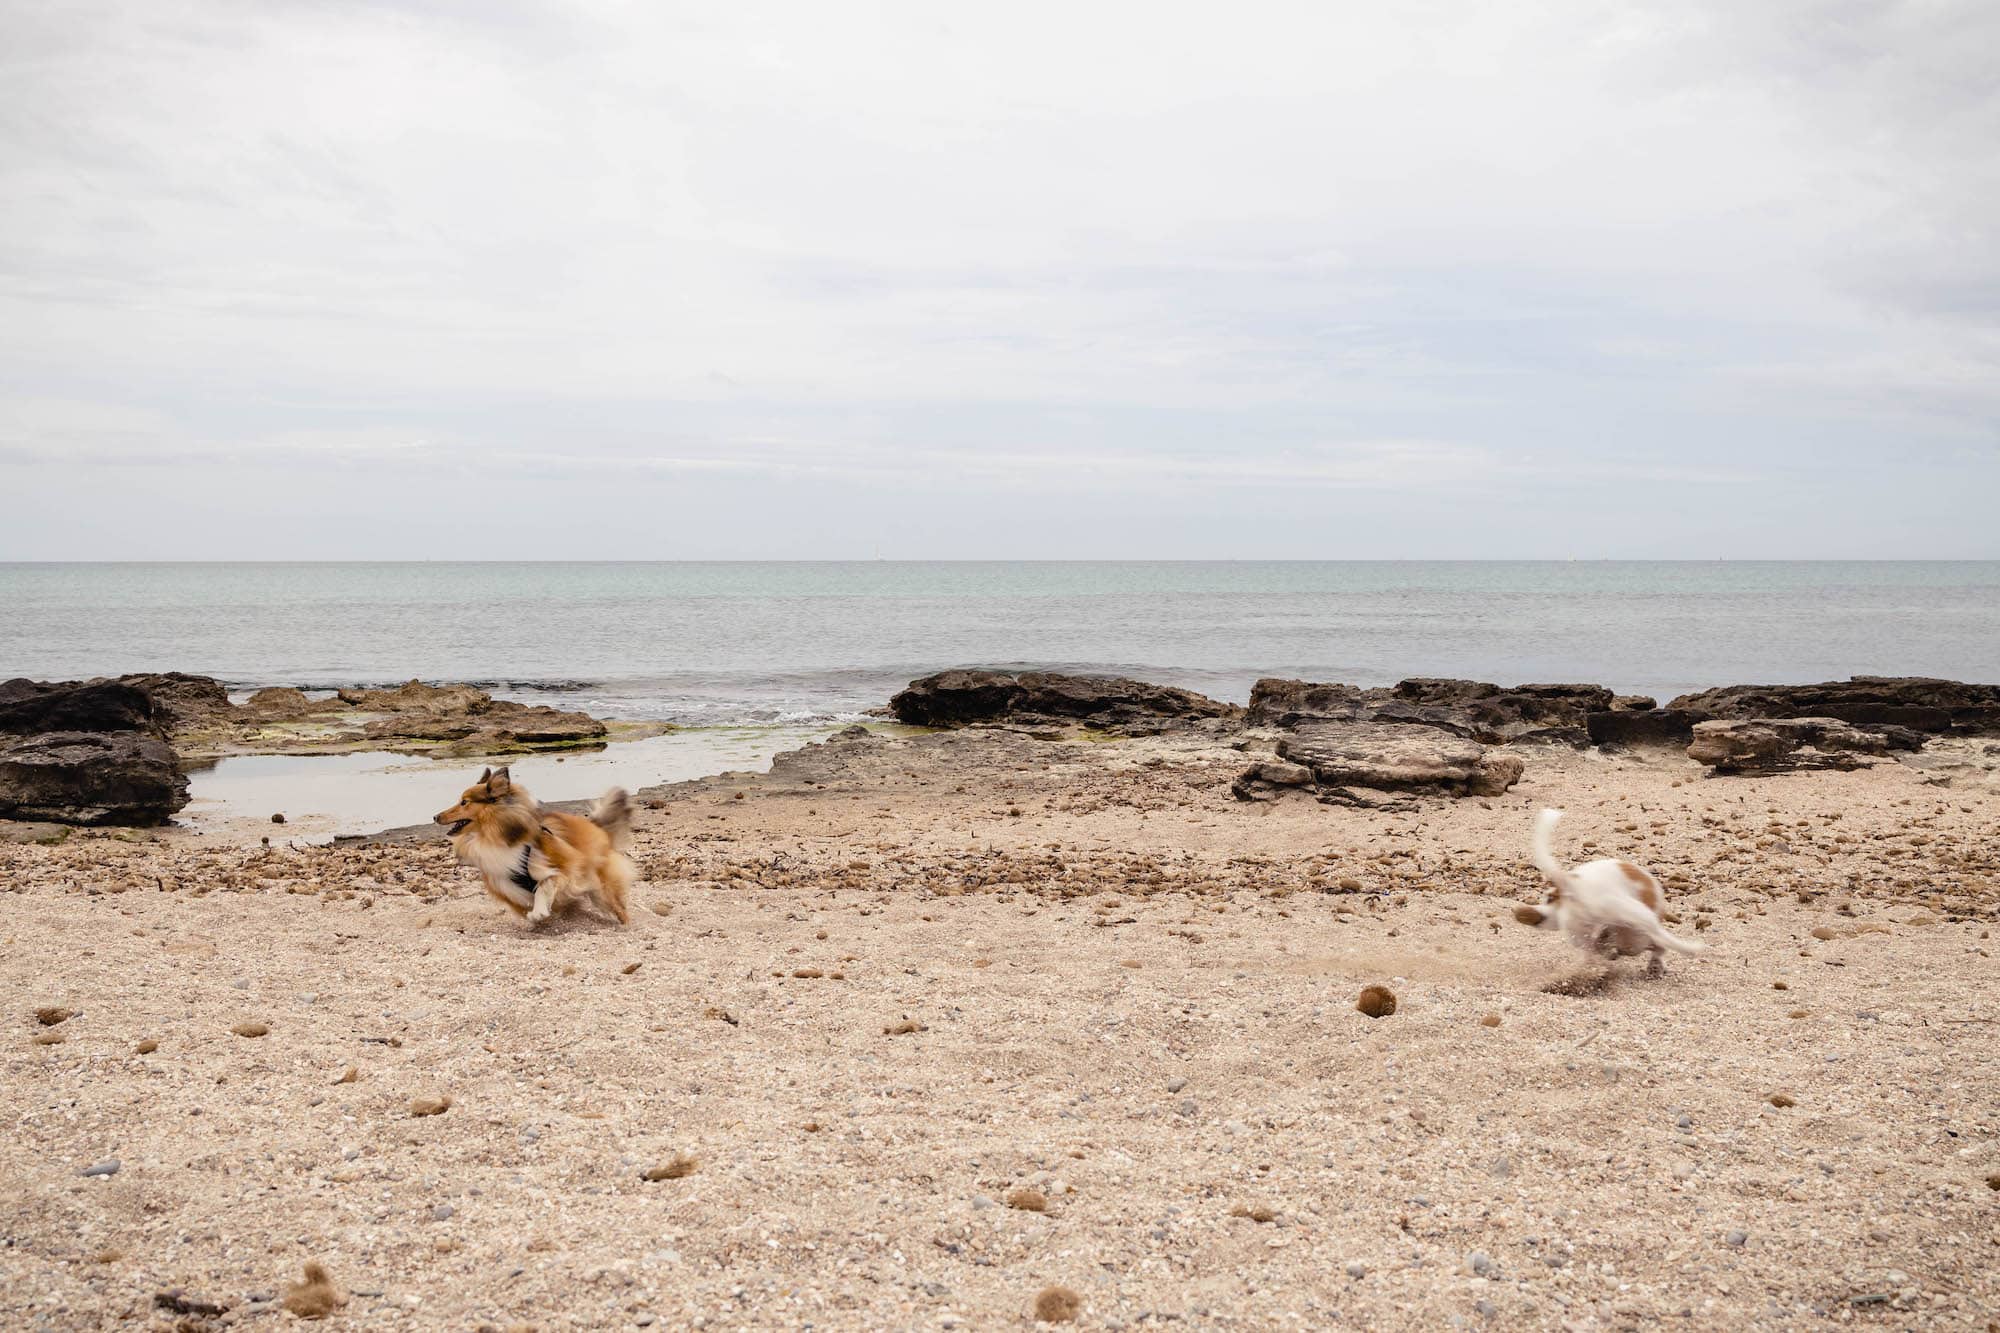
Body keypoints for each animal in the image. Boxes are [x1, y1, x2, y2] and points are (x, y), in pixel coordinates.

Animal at [434, 764, 628, 920]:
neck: (491, 837)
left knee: (613, 901)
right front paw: (540, 913)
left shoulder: (567, 864)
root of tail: (593, 825)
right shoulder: (506, 885)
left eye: (464, 802)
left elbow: (543, 885)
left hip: (600, 883)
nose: (435, 816)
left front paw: (539, 911)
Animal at [1512, 804, 1704, 972]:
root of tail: (1576, 885)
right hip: (1636, 922)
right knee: (1661, 941)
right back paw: (1690, 949)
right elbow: (1658, 948)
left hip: (1572, 927)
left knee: (1585, 947)